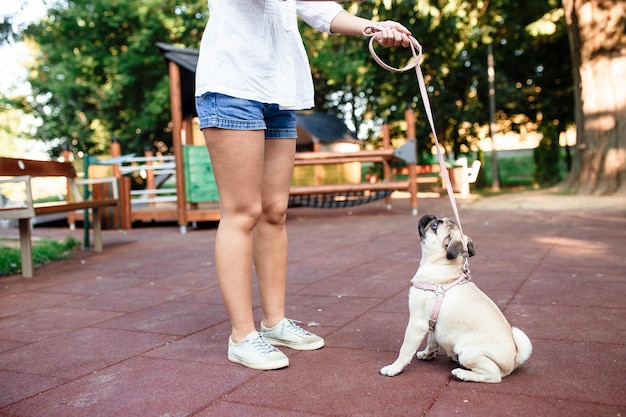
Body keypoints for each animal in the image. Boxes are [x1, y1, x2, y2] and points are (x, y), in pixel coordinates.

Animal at [378, 216, 528, 382]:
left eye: (434, 226)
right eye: (436, 221)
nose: (430, 216)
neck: (443, 267)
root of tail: (513, 361)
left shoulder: (417, 323)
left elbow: (404, 350)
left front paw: (394, 368)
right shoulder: (431, 322)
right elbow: (432, 341)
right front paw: (427, 354)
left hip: (468, 353)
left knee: (493, 375)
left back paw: (462, 374)